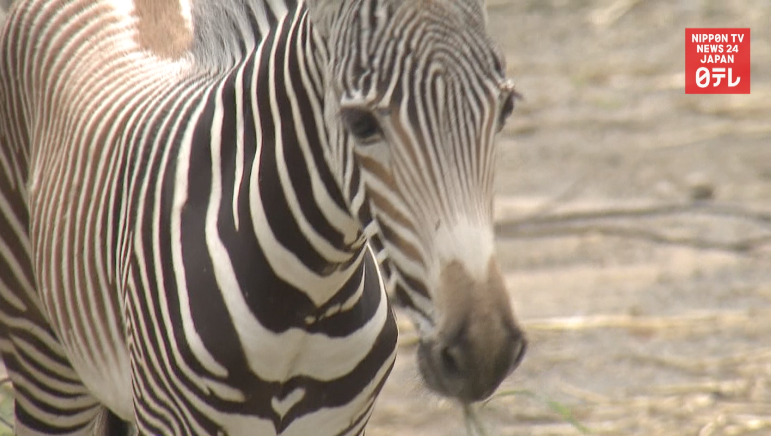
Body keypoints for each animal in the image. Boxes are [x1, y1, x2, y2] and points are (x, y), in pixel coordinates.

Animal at [0, 0, 527, 434]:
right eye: (360, 124)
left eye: (506, 108)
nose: (484, 350)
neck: (305, 301)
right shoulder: (170, 419)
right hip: (46, 361)